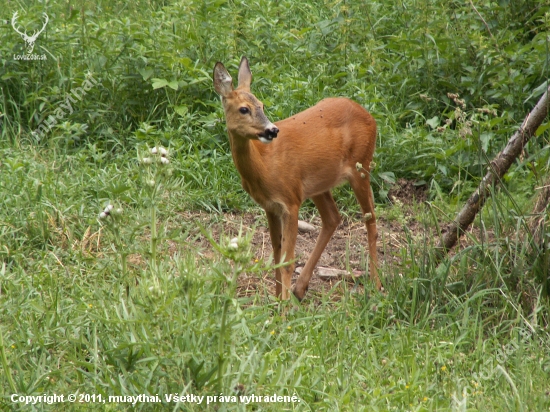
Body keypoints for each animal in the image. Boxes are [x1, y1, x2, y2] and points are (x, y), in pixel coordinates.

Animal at [213, 57, 382, 300]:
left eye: (262, 105)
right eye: (244, 109)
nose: (272, 130)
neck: (264, 166)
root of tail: (370, 117)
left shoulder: (290, 201)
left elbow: (287, 261)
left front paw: (282, 307)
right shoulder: (270, 206)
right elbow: (276, 254)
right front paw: (276, 299)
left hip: (361, 166)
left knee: (370, 220)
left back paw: (377, 285)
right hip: (319, 184)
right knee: (333, 218)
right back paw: (300, 289)